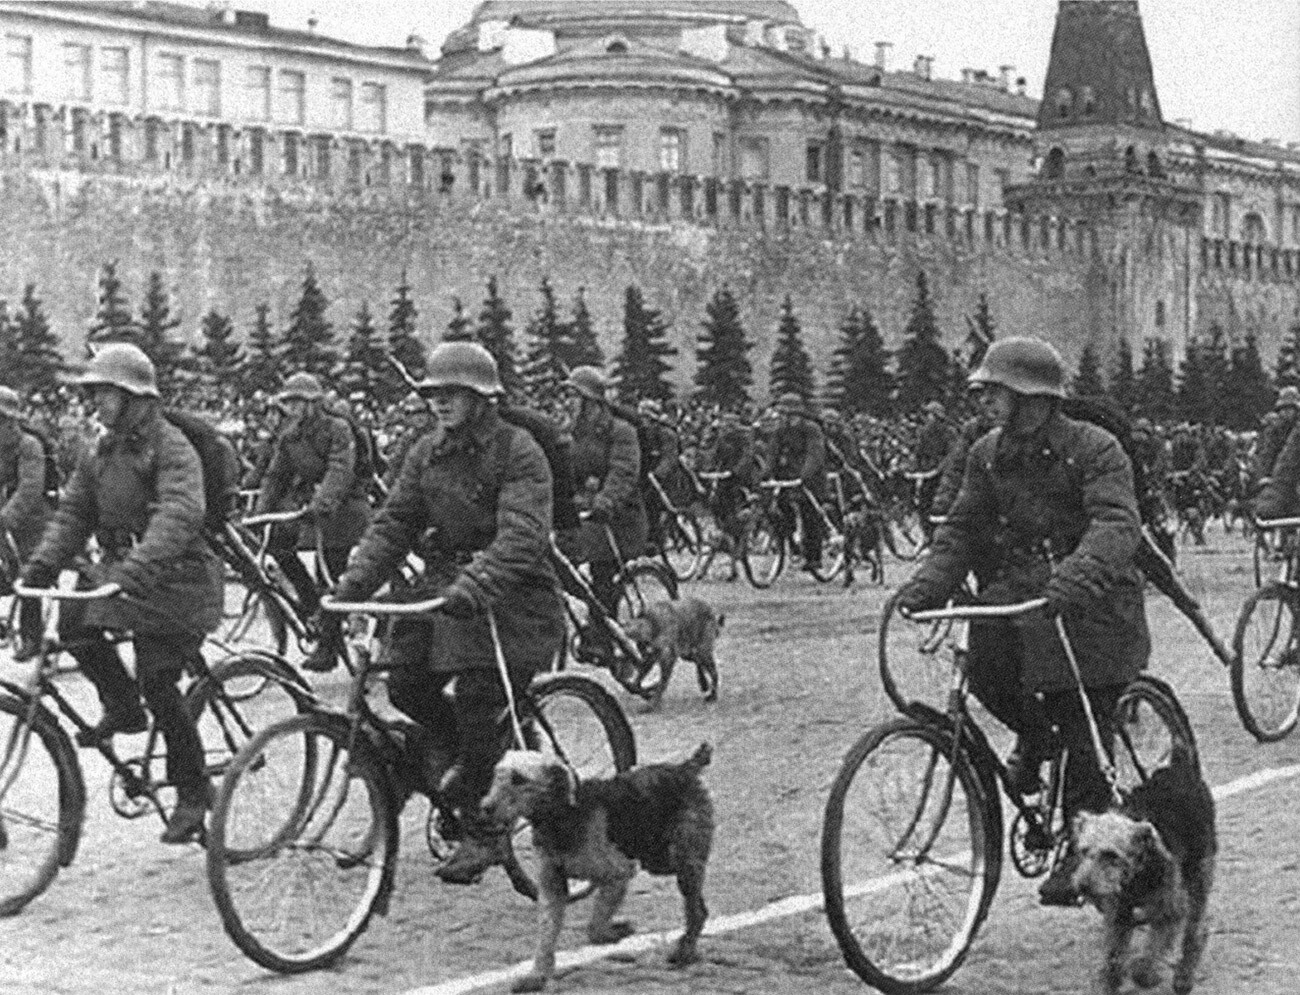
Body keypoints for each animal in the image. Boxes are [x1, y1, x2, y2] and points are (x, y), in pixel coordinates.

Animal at [483, 743, 717, 988]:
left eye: (519, 779)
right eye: (496, 774)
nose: (485, 808)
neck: (562, 814)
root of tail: (686, 769)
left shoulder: (617, 873)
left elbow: (595, 928)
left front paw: (620, 931)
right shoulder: (552, 885)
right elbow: (546, 936)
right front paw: (536, 976)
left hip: (681, 860)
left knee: (696, 910)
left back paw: (684, 952)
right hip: (661, 860)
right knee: (698, 907)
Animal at [1071, 743, 1211, 993]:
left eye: (1112, 855)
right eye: (1084, 851)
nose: (1083, 887)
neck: (1136, 877)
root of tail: (1178, 766)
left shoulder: (1169, 911)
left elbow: (1147, 959)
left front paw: (1148, 975)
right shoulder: (1118, 915)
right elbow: (1113, 958)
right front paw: (1110, 981)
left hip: (1199, 875)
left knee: (1196, 931)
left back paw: (1184, 976)